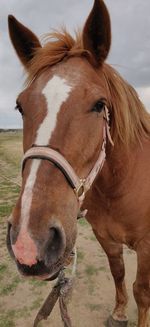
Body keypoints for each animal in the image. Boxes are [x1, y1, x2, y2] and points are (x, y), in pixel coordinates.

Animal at [6, 0, 150, 327]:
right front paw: (119, 314)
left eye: (99, 105)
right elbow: (118, 272)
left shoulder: (148, 246)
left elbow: (142, 290)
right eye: (20, 106)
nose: (29, 243)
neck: (121, 188)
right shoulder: (105, 237)